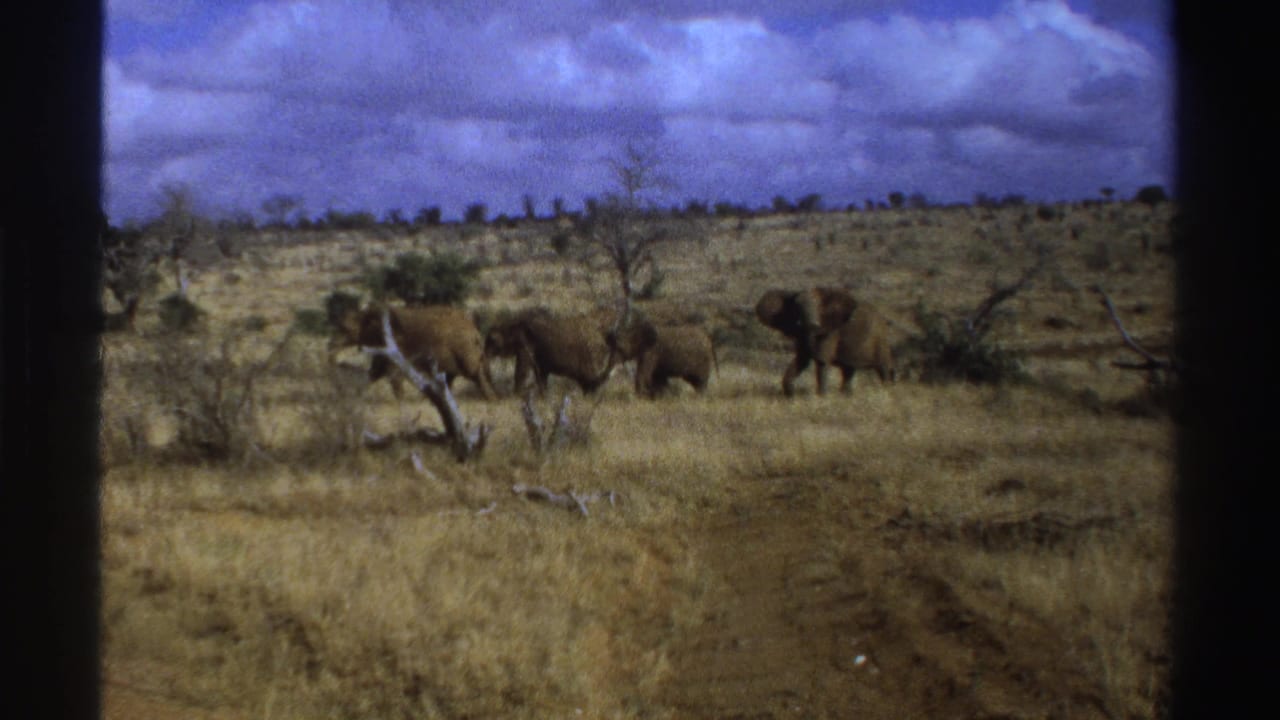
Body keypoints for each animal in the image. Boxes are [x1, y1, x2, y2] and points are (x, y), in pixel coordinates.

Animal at [332, 304, 497, 400]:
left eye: (344, 329)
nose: (331, 345)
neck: (364, 315)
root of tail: (474, 328)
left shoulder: (392, 344)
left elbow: (392, 373)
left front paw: (400, 401)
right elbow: (375, 372)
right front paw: (355, 394)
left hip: (463, 348)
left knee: (474, 372)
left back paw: (491, 398)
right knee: (452, 376)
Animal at [484, 306, 621, 396]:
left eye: (492, 341)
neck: (510, 324)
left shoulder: (525, 347)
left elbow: (521, 371)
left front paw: (516, 395)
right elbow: (541, 378)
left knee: (591, 381)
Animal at [755, 288, 895, 397]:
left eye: (819, 307)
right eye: (797, 308)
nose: (792, 393)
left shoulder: (831, 333)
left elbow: (821, 361)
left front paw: (821, 397)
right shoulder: (802, 336)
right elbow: (801, 360)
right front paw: (790, 395)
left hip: (881, 341)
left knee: (883, 369)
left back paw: (886, 391)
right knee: (848, 370)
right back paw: (846, 396)